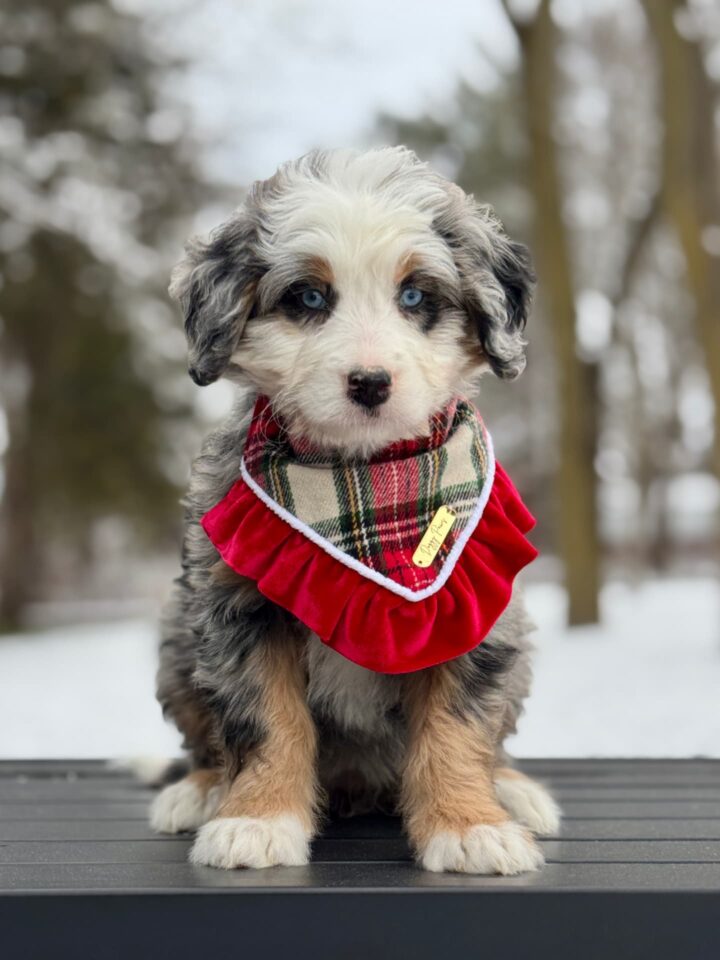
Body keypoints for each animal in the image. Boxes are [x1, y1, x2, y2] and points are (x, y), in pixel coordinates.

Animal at [149, 146, 560, 872]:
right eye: (309, 298)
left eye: (415, 296)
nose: (369, 384)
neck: (366, 478)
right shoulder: (236, 606)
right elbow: (265, 718)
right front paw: (257, 820)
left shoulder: (473, 611)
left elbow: (458, 724)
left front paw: (469, 826)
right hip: (176, 631)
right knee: (202, 737)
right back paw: (198, 791)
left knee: (495, 738)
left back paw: (513, 791)